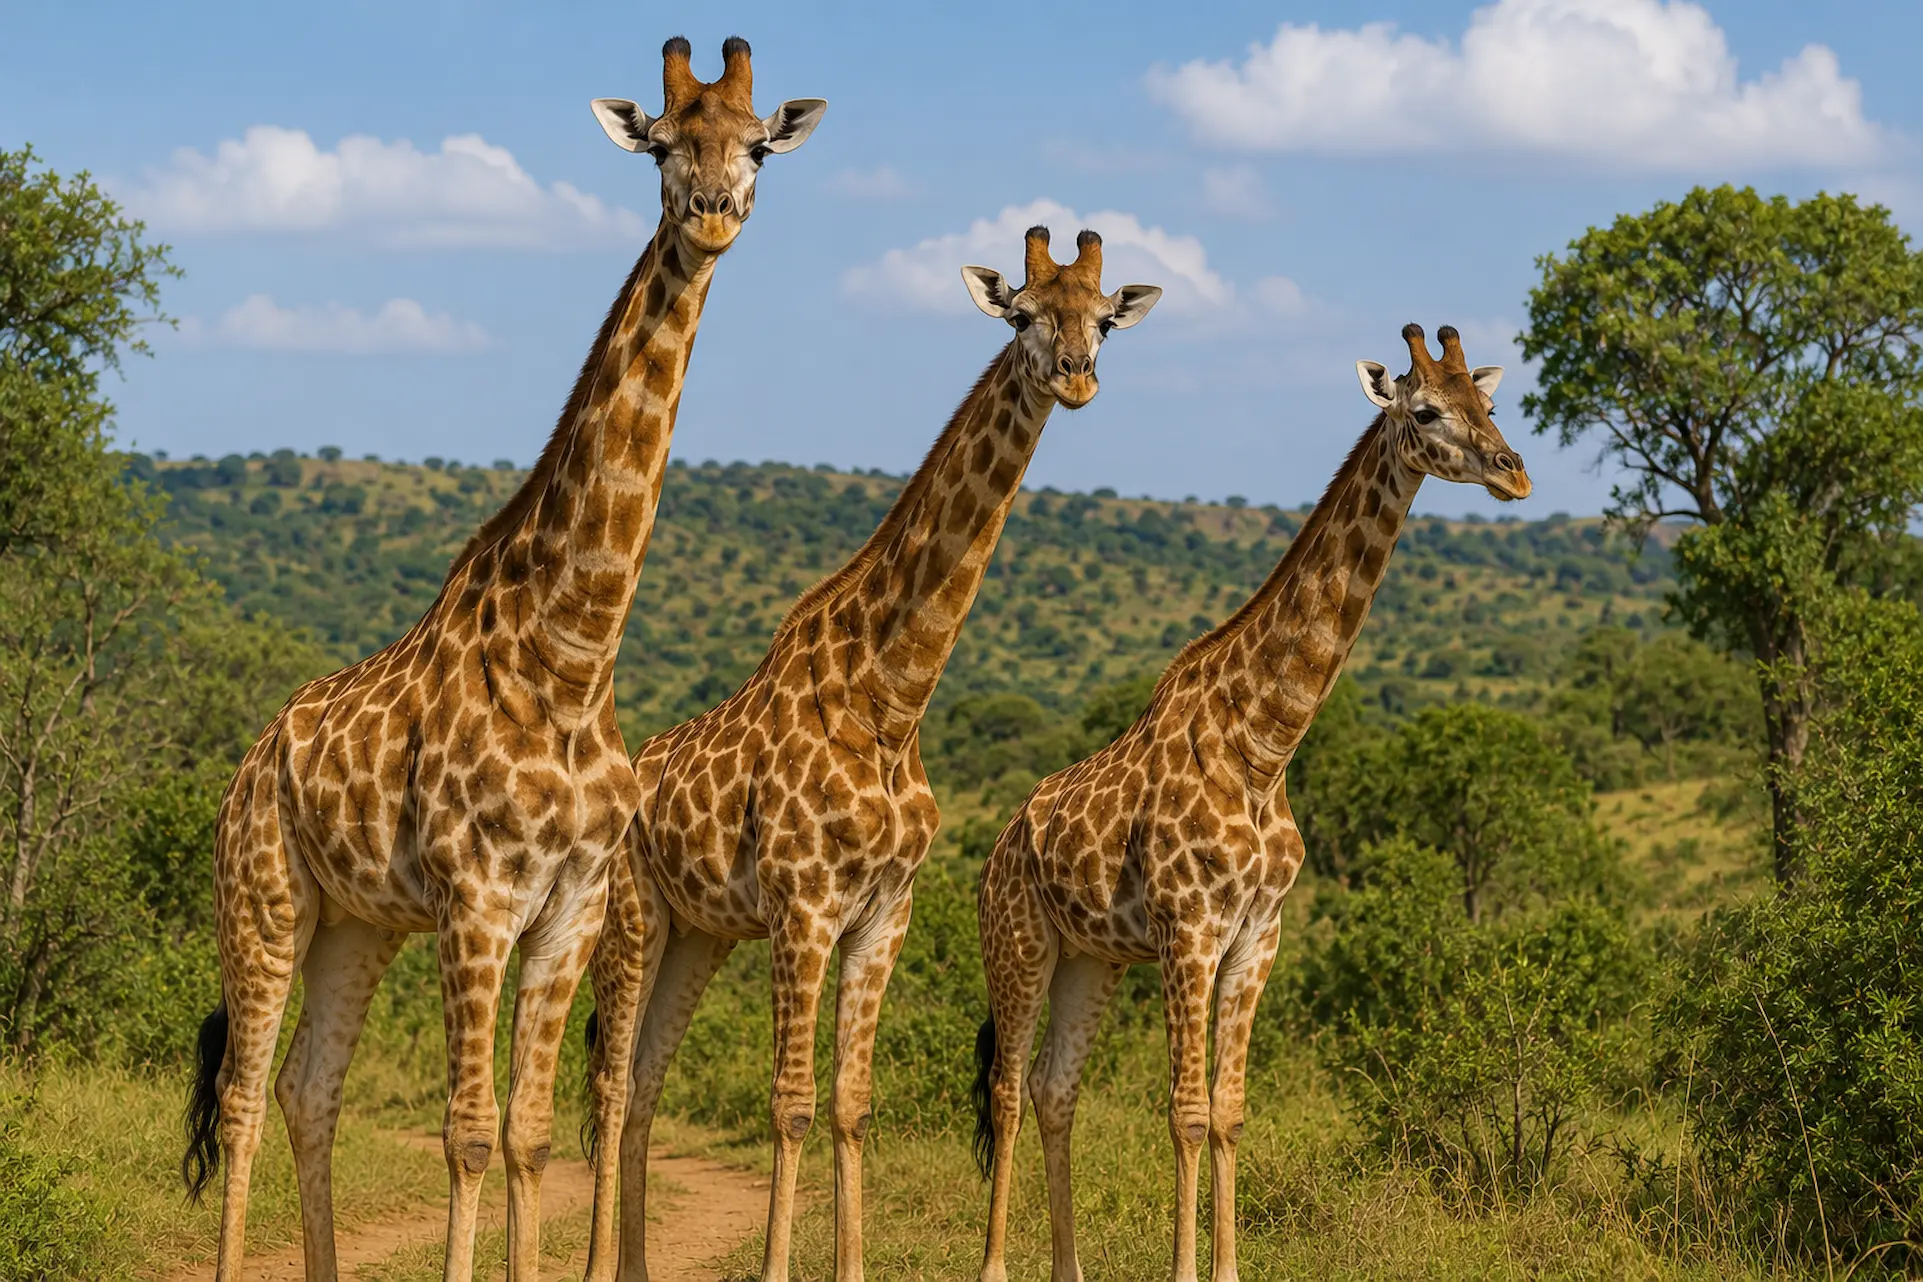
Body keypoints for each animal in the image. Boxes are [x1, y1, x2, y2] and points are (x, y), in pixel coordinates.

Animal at [178, 37, 824, 1282]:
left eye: (759, 144)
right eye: (664, 145)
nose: (715, 213)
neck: (570, 657)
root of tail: (246, 768)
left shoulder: (570, 905)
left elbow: (529, 1136)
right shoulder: (478, 898)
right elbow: (470, 1133)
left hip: (360, 921)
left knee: (307, 1089)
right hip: (265, 894)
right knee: (237, 1100)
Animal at [579, 226, 1162, 1281]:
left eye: (1102, 320)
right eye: (1022, 313)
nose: (1075, 377)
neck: (892, 698)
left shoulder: (882, 913)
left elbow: (851, 1106)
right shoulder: (805, 904)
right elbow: (791, 1103)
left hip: (699, 933)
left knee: (642, 1082)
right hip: (632, 914)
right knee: (607, 1084)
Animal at [970, 323, 1533, 1282]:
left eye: (1487, 401)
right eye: (1425, 410)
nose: (1513, 470)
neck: (1264, 747)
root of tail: (1000, 848)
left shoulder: (1256, 937)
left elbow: (1229, 1113)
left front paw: (1227, 1269)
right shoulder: (1189, 930)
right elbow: (1186, 1113)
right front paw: (1184, 1269)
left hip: (1091, 959)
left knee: (1053, 1091)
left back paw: (1067, 1270)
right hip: (1019, 943)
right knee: (1007, 1090)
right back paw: (994, 1268)